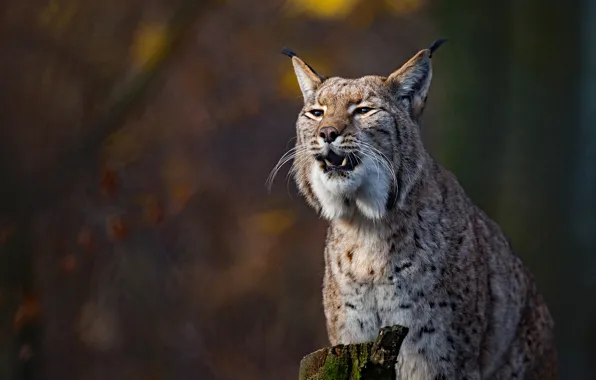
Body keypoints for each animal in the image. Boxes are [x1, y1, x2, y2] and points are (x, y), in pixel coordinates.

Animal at [270, 40, 560, 378]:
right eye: (317, 113)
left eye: (363, 110)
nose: (327, 133)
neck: (366, 225)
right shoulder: (350, 336)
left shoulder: (441, 355)